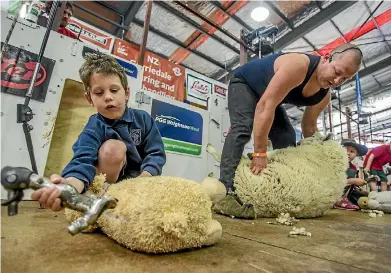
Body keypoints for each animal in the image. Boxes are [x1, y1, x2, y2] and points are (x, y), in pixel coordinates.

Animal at [208, 132, 350, 217]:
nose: (298, 142)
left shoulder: (285, 153)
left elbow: (275, 151)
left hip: (243, 171)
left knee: (223, 158)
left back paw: (210, 149)